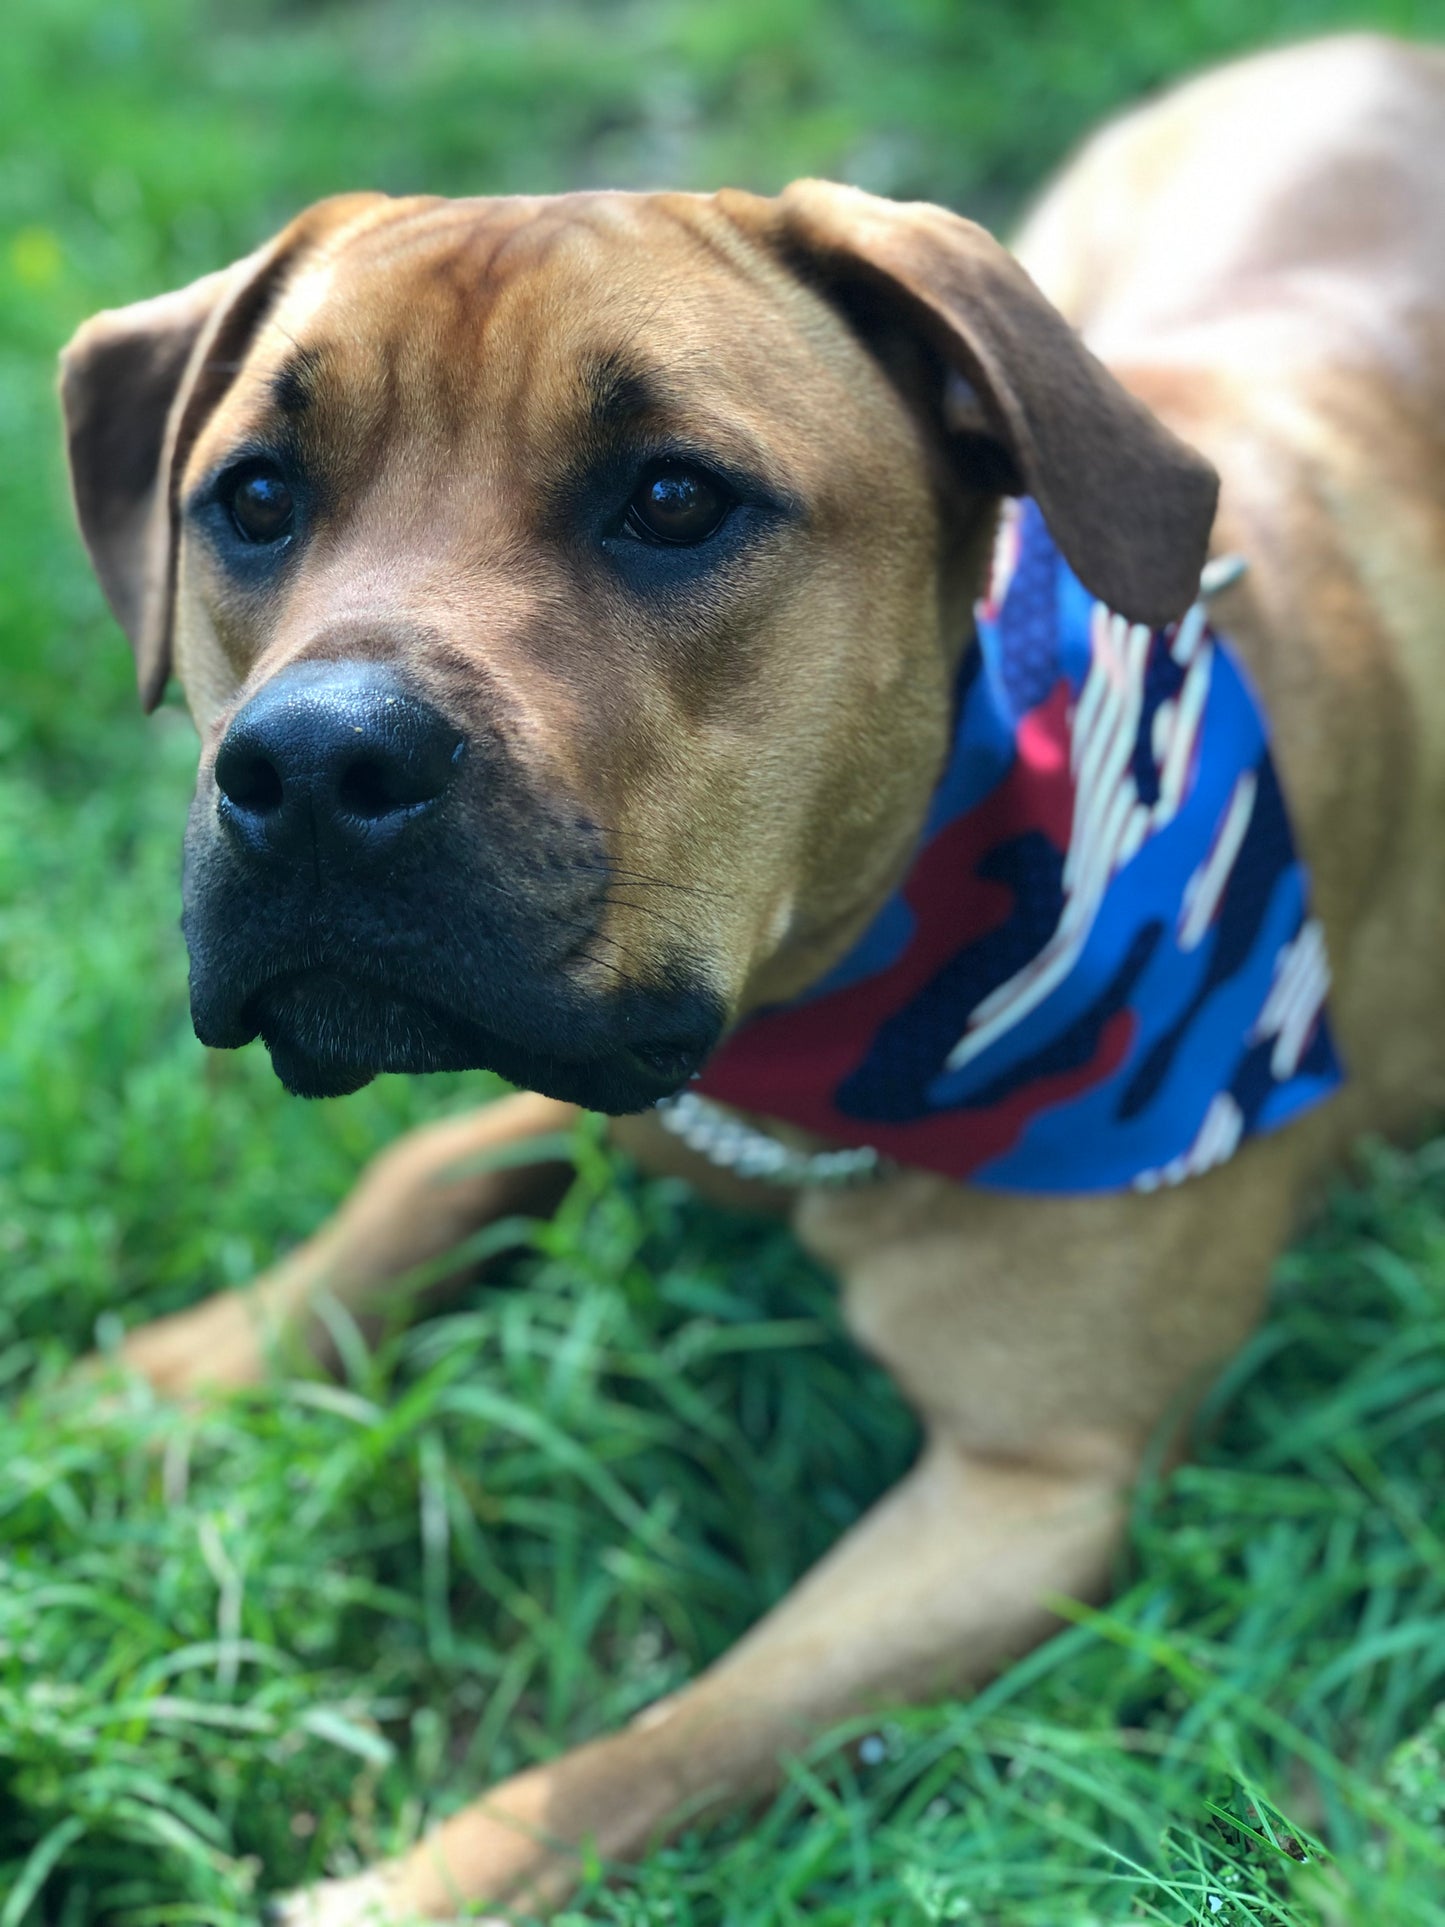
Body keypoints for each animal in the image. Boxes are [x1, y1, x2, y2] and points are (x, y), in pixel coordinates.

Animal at [56, 30, 1445, 1927]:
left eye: (673, 497)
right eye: (254, 497)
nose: (316, 766)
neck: (826, 1022)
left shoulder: (1032, 1490)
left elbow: (645, 1753)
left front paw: (403, 1884)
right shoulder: (618, 1088)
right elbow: (419, 1173)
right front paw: (146, 1381)